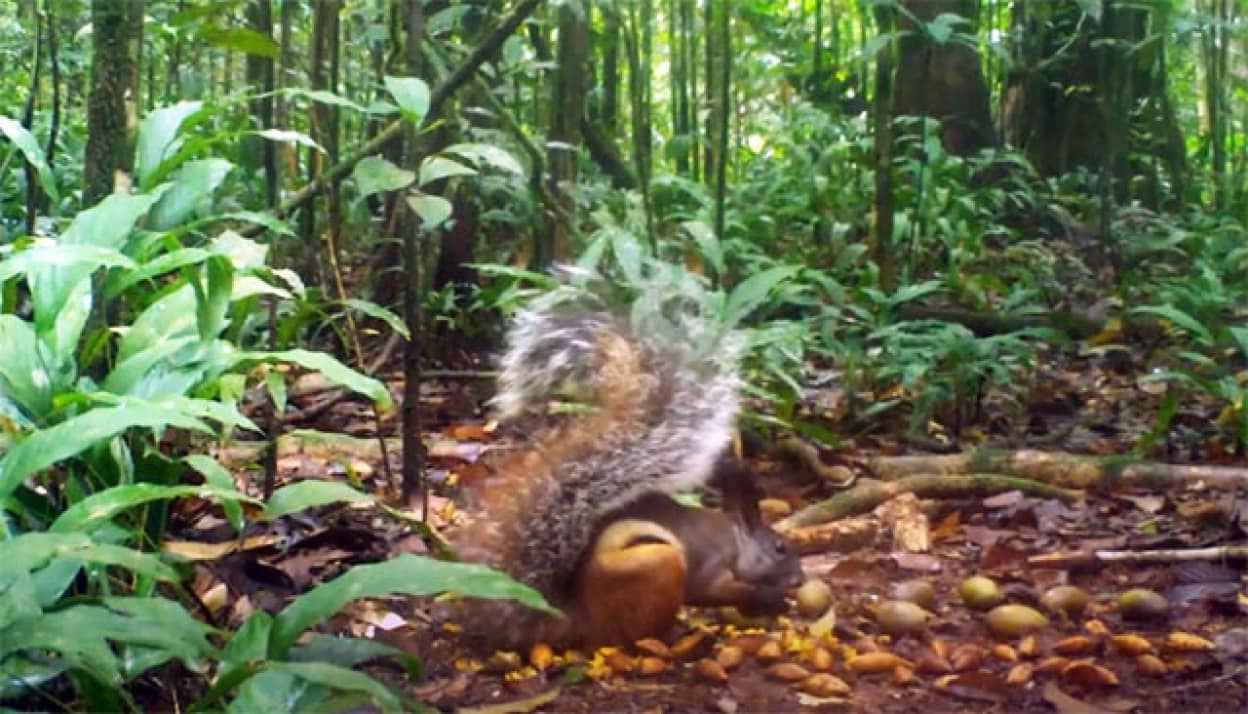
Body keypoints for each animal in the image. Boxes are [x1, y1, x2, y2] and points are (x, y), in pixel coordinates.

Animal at [454, 283, 803, 649]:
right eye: (780, 548)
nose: (800, 578)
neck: (735, 539)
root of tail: (576, 617)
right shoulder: (710, 564)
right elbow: (711, 591)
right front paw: (766, 597)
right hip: (657, 563)